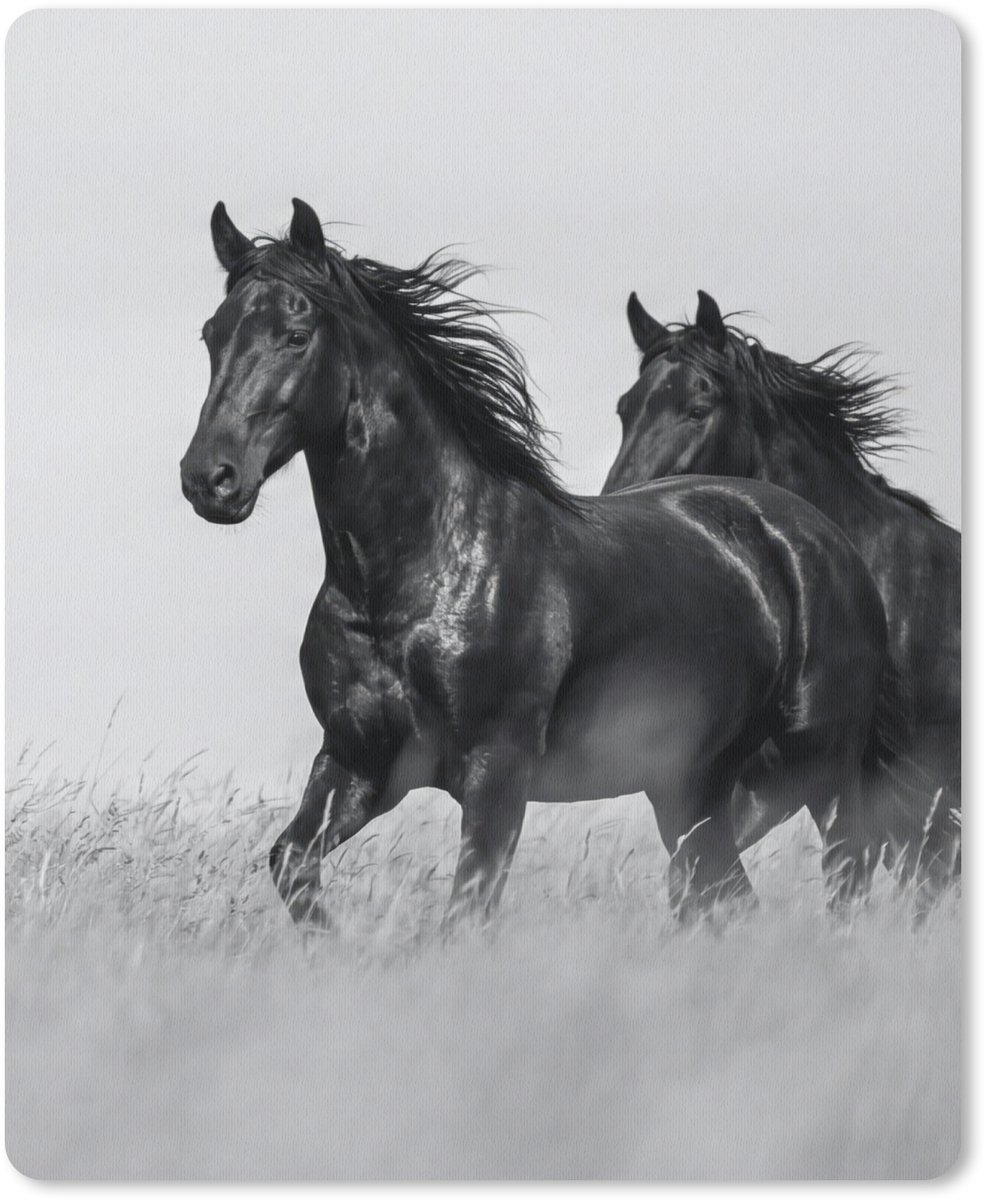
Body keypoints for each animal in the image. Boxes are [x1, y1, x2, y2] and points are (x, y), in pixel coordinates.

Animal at [180, 199, 897, 927]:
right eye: (212, 334)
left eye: (296, 335)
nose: (209, 479)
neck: (409, 582)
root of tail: (820, 536)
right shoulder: (357, 762)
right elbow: (291, 861)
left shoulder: (496, 771)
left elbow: (466, 912)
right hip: (690, 786)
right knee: (721, 893)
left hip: (820, 766)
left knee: (843, 881)